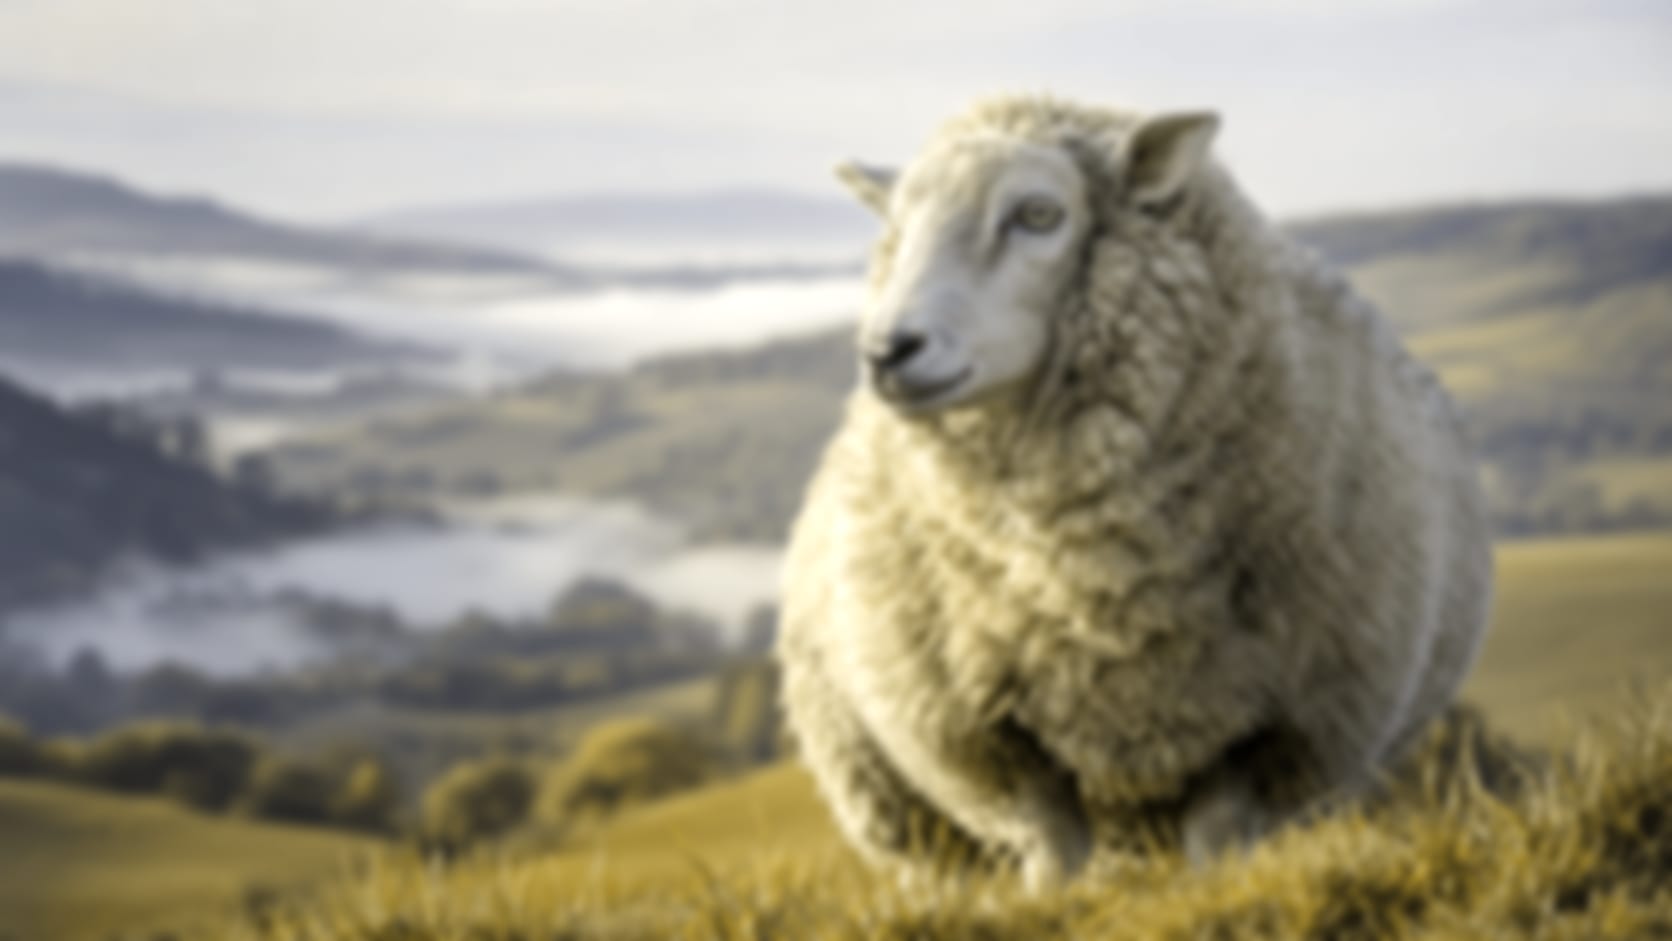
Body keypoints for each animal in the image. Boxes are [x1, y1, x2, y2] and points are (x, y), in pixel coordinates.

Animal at [775, 94, 1494, 890]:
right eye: (896, 229)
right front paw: (1051, 901)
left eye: (1038, 213)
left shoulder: (1268, 723)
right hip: (889, 793)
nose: (887, 351)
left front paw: (1216, 892)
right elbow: (1052, 839)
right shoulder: (988, 730)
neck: (1093, 586)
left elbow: (1217, 831)